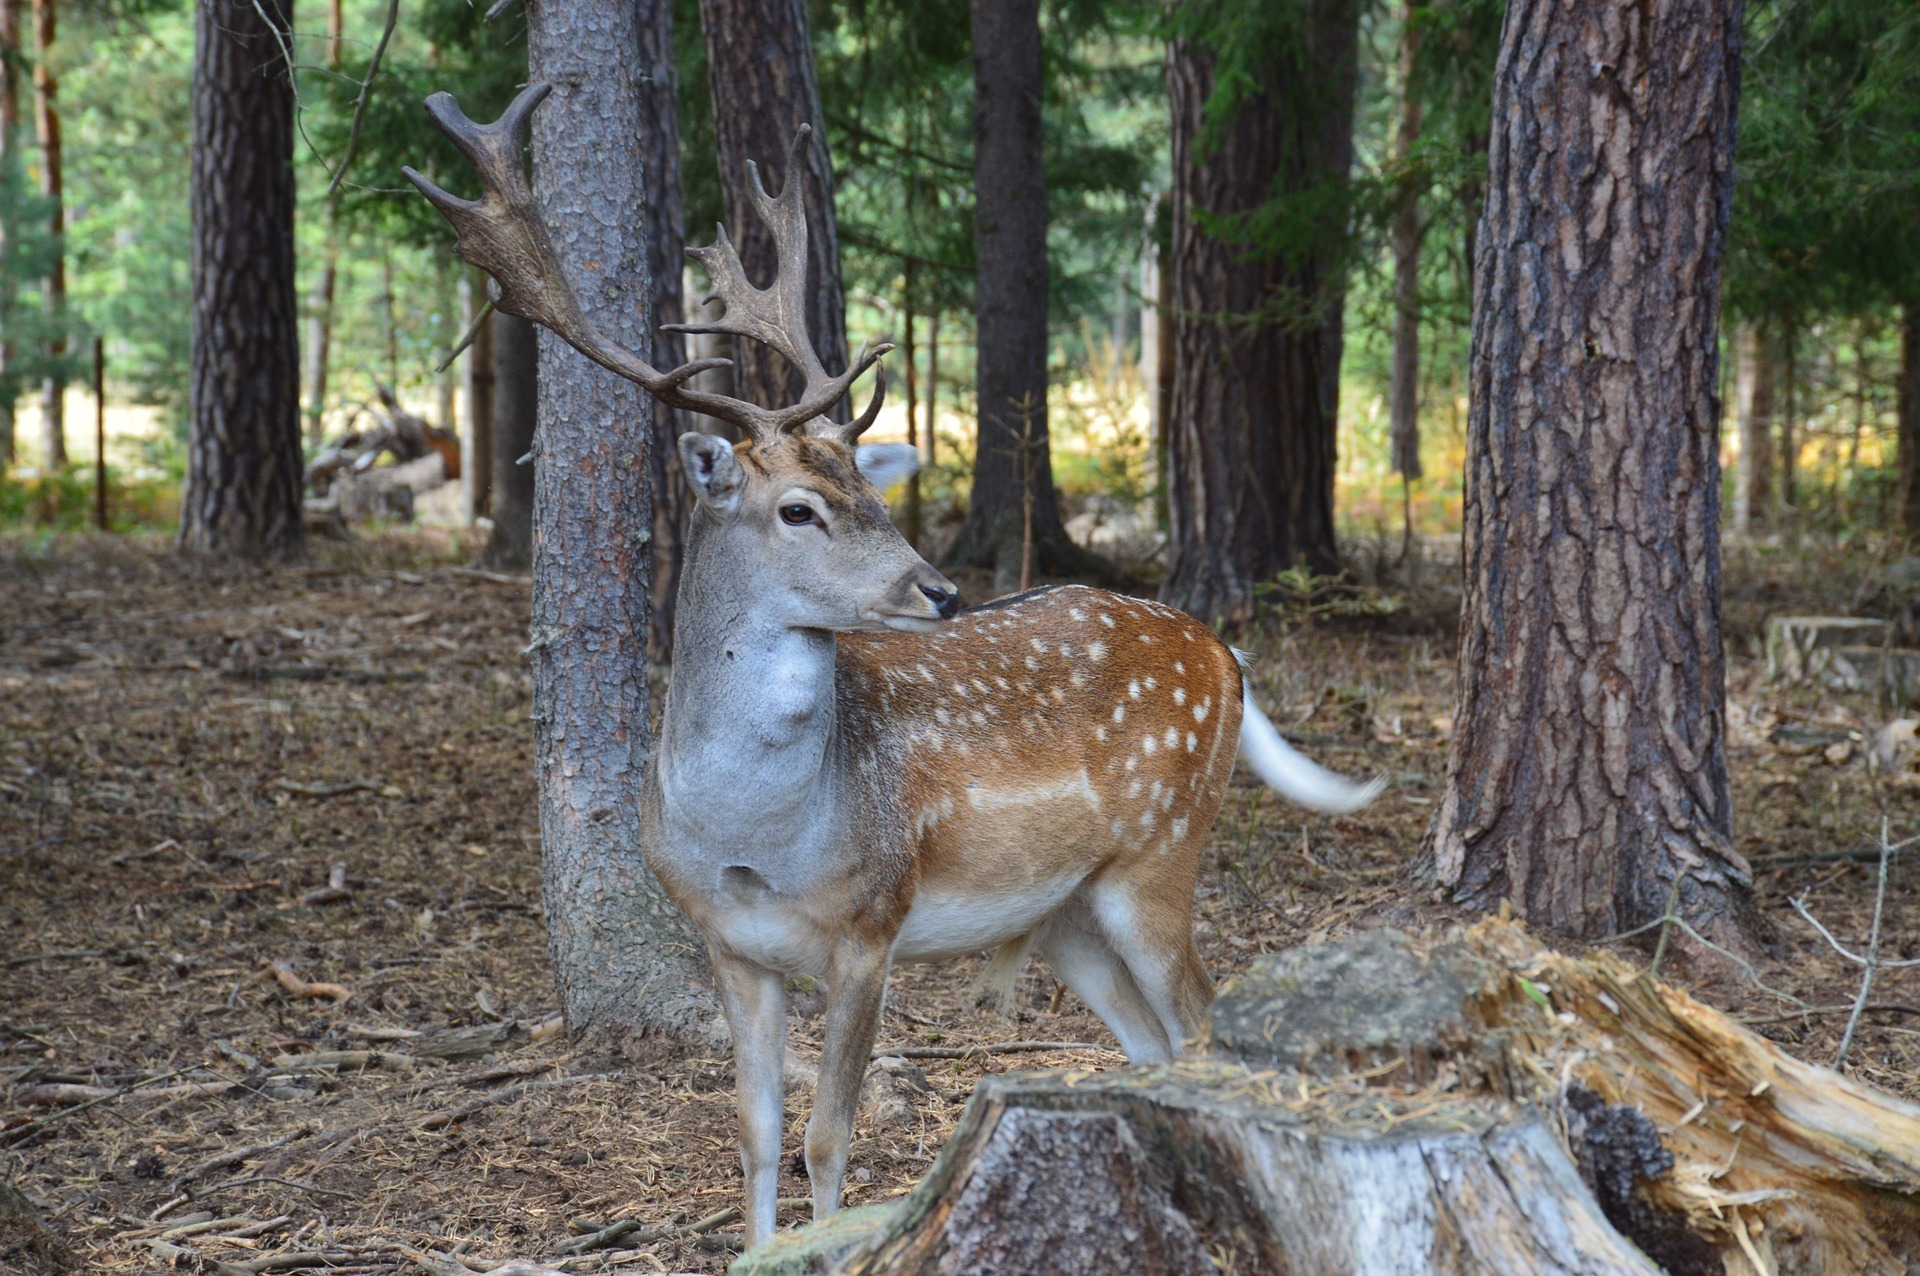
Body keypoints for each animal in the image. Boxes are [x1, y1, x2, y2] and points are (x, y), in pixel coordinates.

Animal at [412, 84, 1390, 1251]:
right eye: (799, 507)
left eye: (873, 494)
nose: (939, 589)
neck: (757, 839)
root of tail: (1222, 649)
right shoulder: (729, 946)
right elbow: (754, 1134)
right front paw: (762, 1249)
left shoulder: (871, 924)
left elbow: (828, 1138)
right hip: (1067, 913)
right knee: (1153, 1048)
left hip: (1162, 849)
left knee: (1203, 1021)